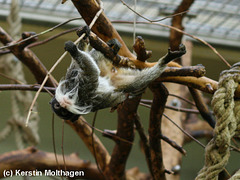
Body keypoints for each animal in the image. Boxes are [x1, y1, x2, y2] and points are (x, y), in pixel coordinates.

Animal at [50, 27, 186, 122]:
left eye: (57, 106)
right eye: (61, 110)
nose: (60, 103)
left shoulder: (72, 82)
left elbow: (80, 67)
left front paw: (81, 38)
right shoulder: (80, 92)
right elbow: (92, 73)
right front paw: (74, 49)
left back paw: (111, 45)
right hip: (122, 79)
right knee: (140, 80)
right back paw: (164, 62)